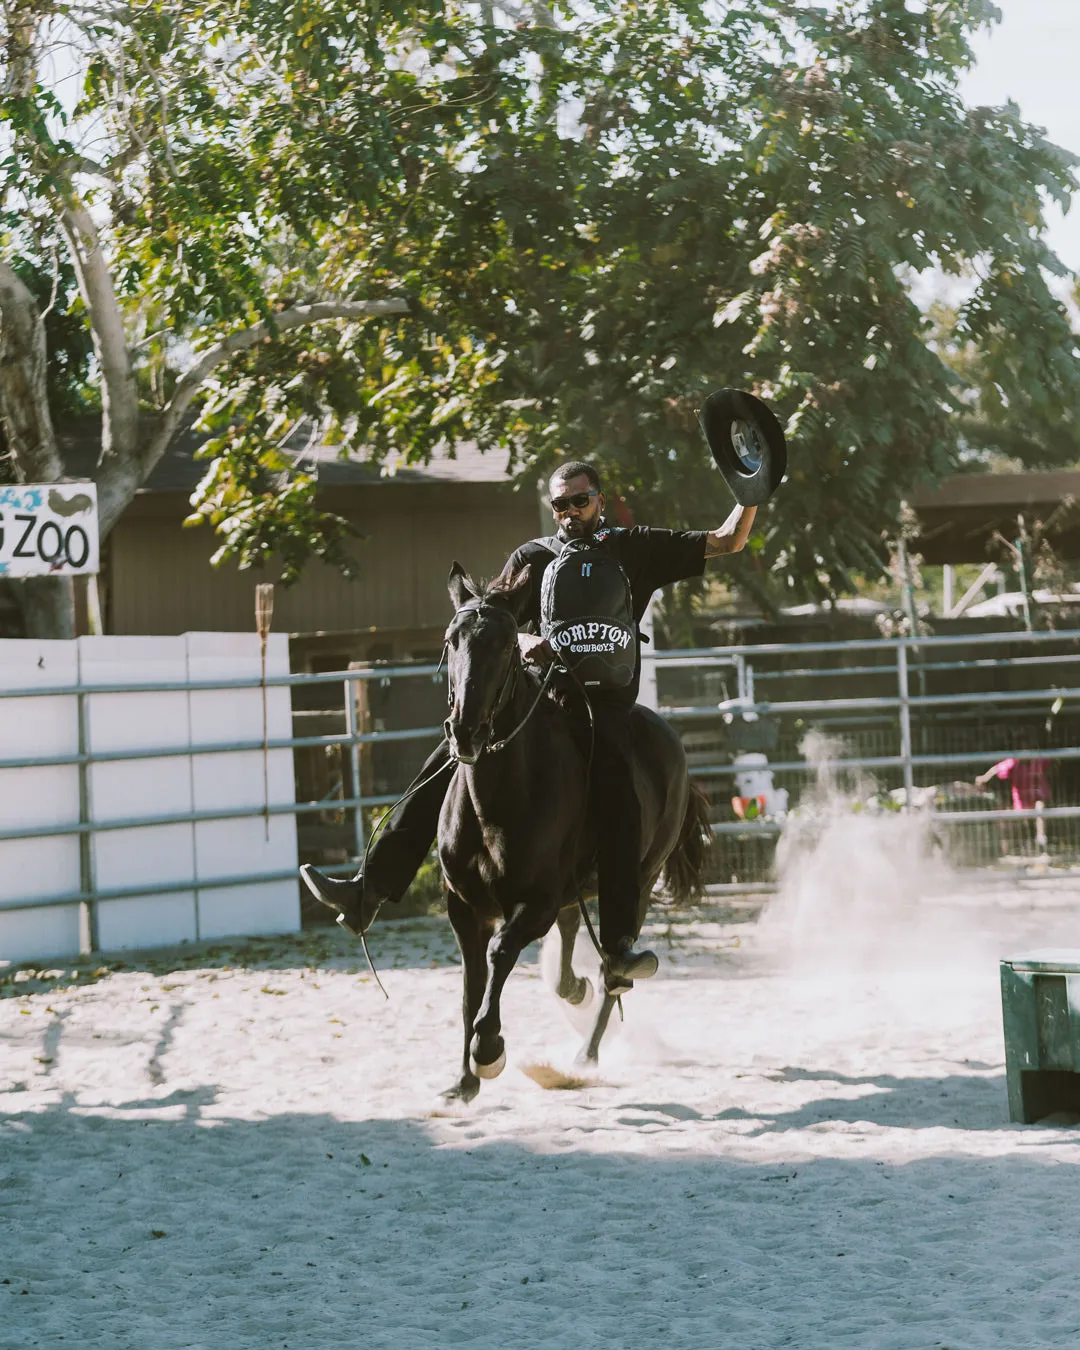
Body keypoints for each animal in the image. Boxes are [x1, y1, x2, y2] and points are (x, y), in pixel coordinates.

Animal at [437, 564, 707, 1101]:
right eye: (452, 640)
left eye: (506, 644)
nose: (466, 731)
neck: (495, 804)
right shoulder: (463, 906)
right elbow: (470, 984)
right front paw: (462, 1082)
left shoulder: (534, 903)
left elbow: (499, 954)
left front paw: (488, 1051)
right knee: (572, 943)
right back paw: (573, 991)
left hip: (640, 880)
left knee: (614, 967)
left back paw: (588, 1049)